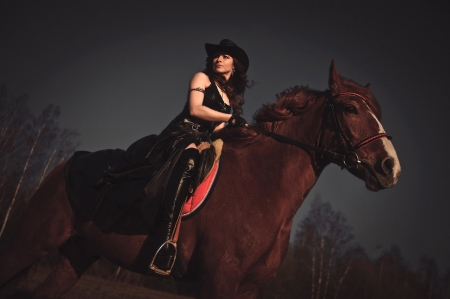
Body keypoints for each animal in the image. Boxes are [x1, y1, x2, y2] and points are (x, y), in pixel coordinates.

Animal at [0, 61, 400, 299]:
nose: (391, 168)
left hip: (78, 253)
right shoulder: (218, 281)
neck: (265, 187)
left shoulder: (248, 288)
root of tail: (68, 164)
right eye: (350, 109)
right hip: (29, 243)